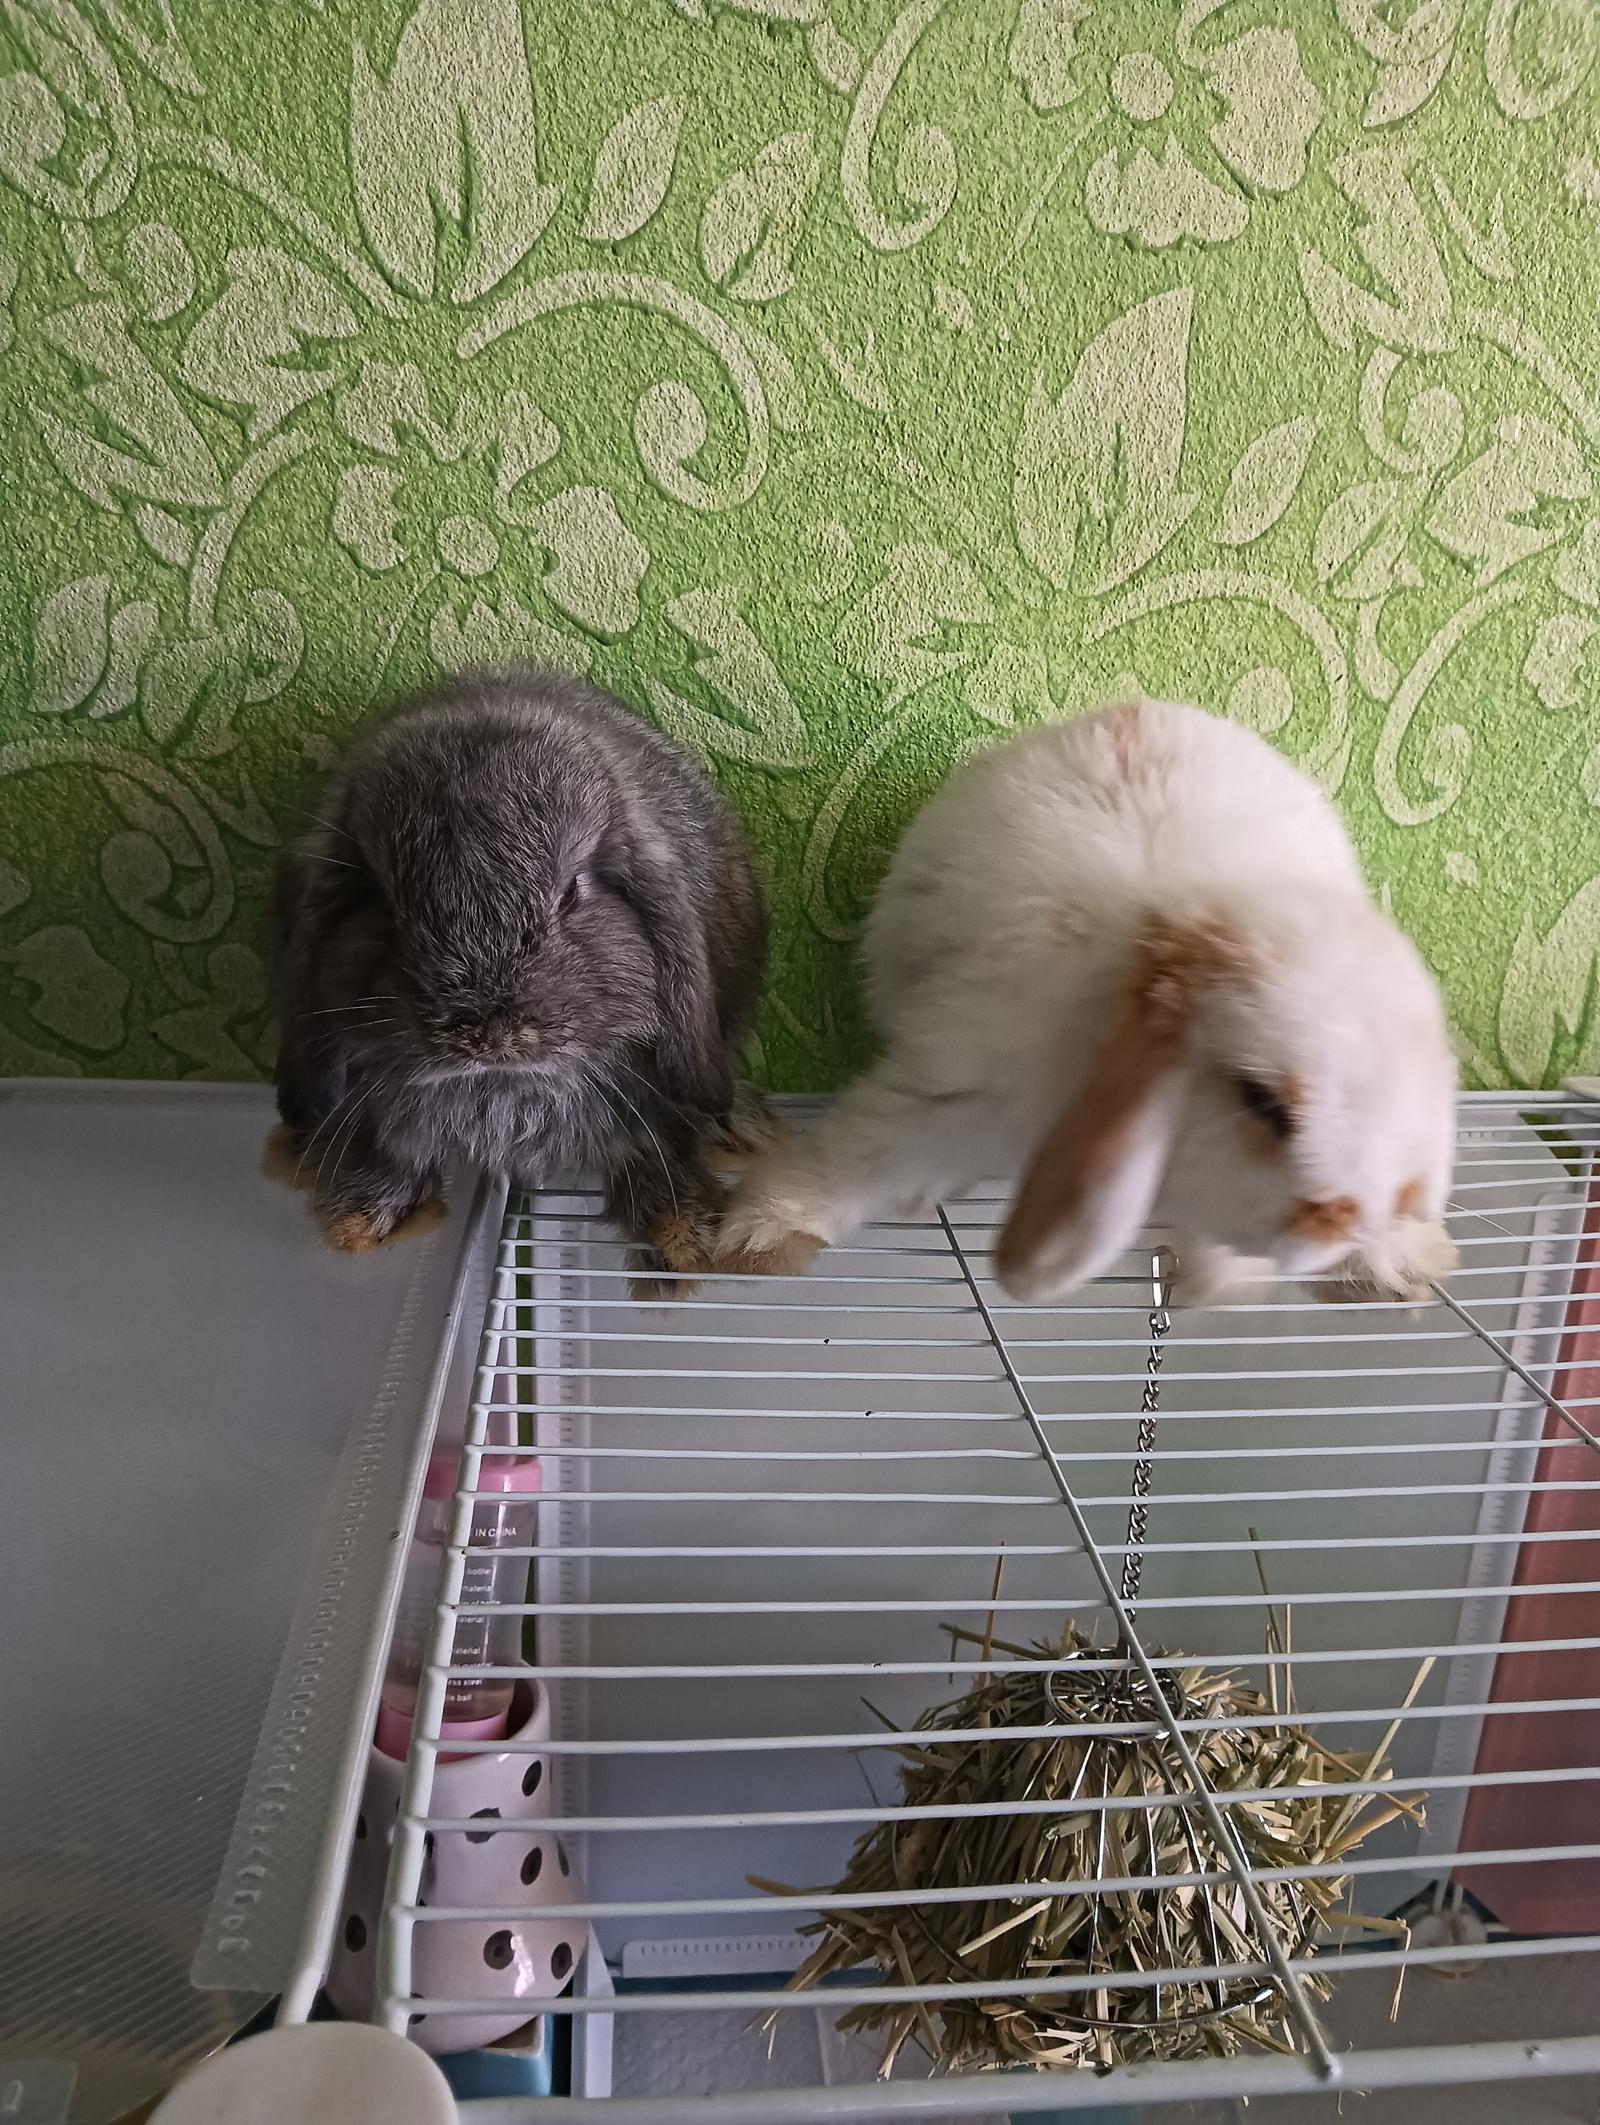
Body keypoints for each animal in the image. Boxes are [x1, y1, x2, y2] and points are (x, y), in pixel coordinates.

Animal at [267, 668, 769, 1290]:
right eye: (384, 903)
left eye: (572, 893)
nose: (488, 1035)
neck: (501, 1091)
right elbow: (398, 1153)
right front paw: (363, 1220)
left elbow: (650, 1156)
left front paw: (684, 1245)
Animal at [718, 698, 1458, 1308]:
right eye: (1262, 1102)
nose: (1346, 1224)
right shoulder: (948, 1091)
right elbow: (853, 1158)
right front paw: (757, 1235)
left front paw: (1398, 1263)